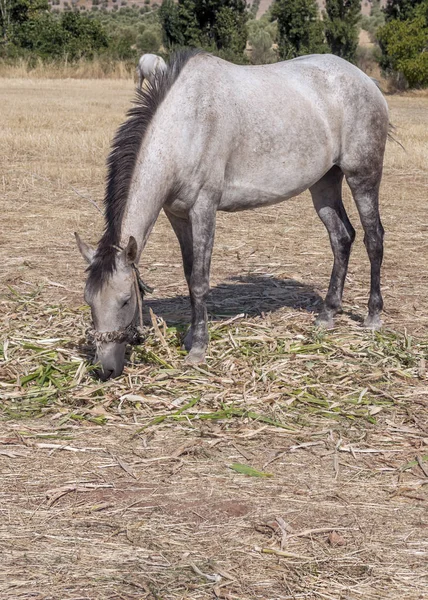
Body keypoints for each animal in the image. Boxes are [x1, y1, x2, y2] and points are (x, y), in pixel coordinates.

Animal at [75, 50, 390, 380]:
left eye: (125, 301)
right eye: (89, 301)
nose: (105, 369)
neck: (186, 128)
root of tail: (365, 80)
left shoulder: (204, 209)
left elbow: (200, 280)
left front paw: (198, 349)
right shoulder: (177, 215)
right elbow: (189, 274)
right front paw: (190, 337)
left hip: (362, 176)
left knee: (373, 239)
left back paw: (372, 316)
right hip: (325, 182)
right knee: (341, 238)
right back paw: (328, 314)